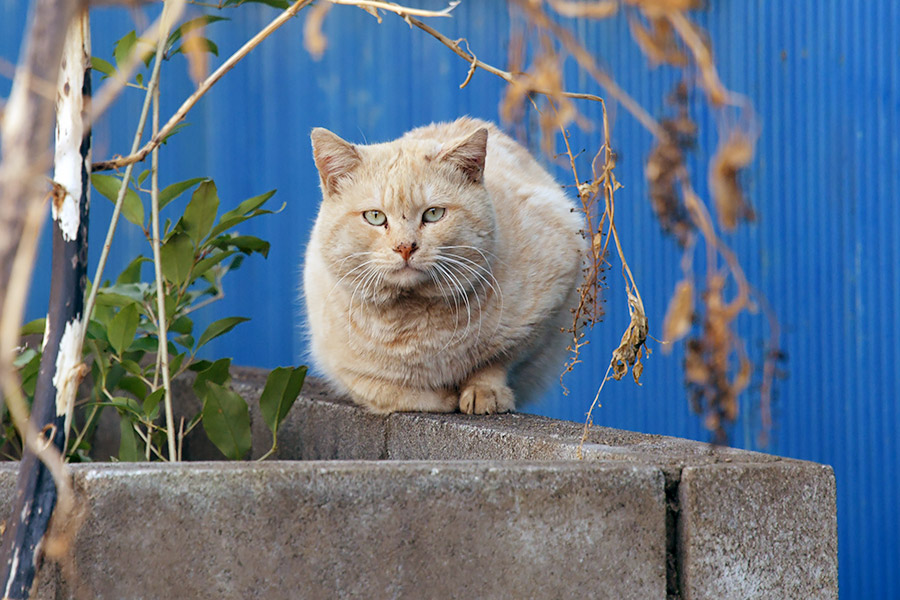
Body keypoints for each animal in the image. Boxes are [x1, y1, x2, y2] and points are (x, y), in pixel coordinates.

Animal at [302, 118, 584, 418]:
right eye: (375, 217)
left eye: (433, 214)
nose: (405, 247)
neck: (415, 317)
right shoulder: (337, 359)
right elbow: (382, 389)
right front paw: (438, 397)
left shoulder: (549, 303)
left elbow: (497, 359)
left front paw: (485, 392)